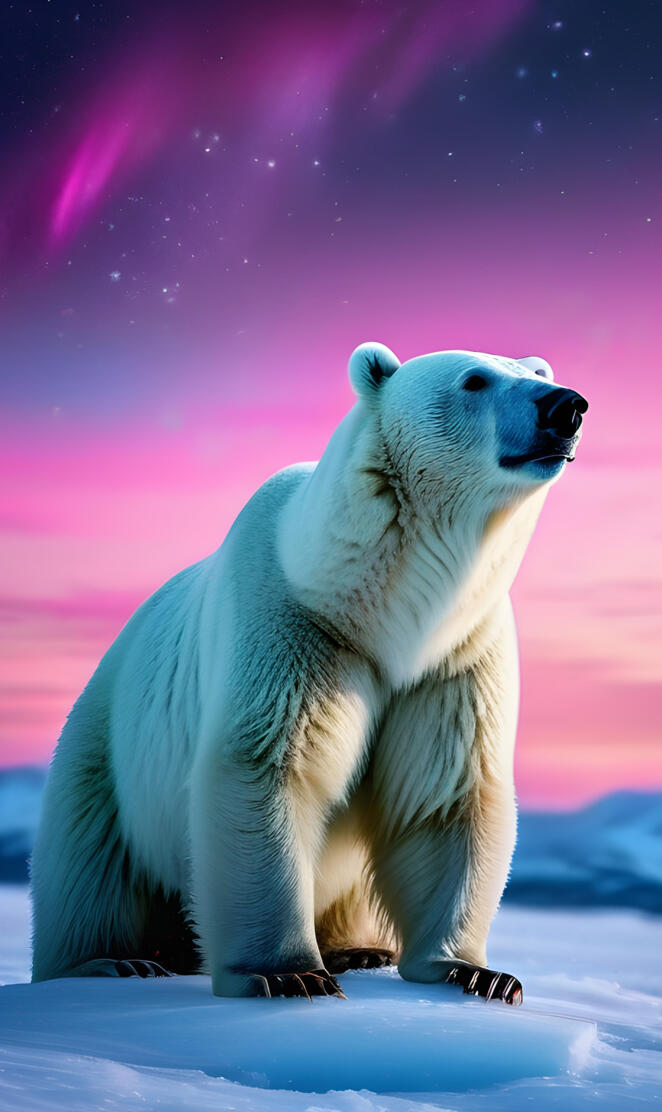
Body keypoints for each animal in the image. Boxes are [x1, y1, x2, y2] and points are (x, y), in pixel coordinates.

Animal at [30, 342, 588, 1005]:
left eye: (535, 373)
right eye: (475, 380)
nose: (566, 406)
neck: (378, 605)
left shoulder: (455, 657)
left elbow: (447, 792)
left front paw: (476, 973)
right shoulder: (295, 625)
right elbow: (265, 766)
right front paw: (287, 973)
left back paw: (360, 948)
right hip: (109, 748)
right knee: (87, 860)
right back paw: (112, 960)